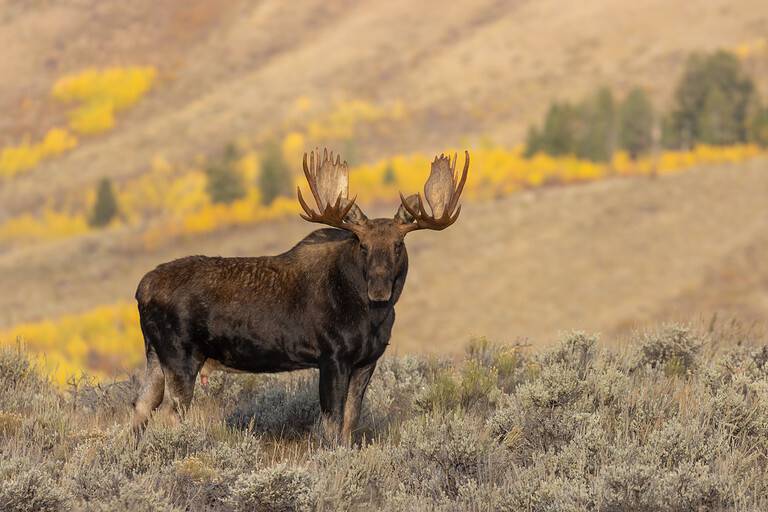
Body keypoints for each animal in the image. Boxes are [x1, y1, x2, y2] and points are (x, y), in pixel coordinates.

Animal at [131, 148, 468, 444]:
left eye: (399, 245)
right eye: (363, 245)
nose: (379, 289)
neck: (372, 317)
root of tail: (141, 289)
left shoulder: (367, 360)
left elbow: (351, 420)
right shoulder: (332, 356)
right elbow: (332, 423)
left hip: (155, 354)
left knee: (141, 406)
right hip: (181, 355)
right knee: (169, 414)